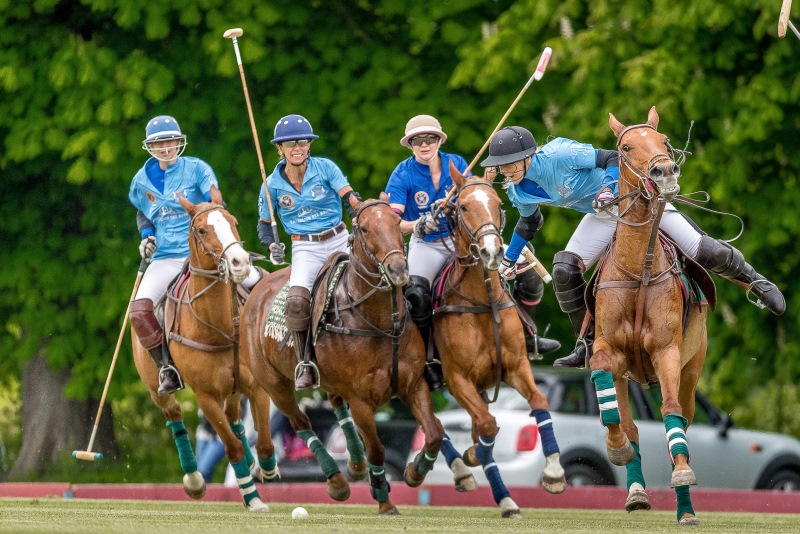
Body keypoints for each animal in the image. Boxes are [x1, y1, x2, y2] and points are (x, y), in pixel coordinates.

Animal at [133, 186, 276, 512]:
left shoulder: (256, 386)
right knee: (173, 412)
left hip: (234, 388)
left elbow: (263, 442)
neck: (219, 326)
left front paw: (266, 469)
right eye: (201, 229)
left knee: (235, 417)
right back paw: (195, 480)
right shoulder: (205, 397)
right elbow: (232, 448)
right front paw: (253, 498)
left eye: (233, 222)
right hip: (154, 386)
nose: (240, 262)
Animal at [244, 195, 444, 516]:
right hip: (273, 383)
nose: (398, 270)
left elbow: (435, 432)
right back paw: (337, 481)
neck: (379, 321)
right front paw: (384, 501)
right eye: (364, 228)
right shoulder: (361, 399)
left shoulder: (414, 385)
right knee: (302, 422)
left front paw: (414, 472)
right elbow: (377, 449)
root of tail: (258, 287)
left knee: (336, 405)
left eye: (397, 222)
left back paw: (356, 464)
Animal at [432, 168, 568, 520]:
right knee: (433, 422)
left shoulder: (515, 366)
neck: (483, 303)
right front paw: (473, 456)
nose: (492, 252)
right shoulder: (456, 379)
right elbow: (488, 425)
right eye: (463, 206)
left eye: (497, 203)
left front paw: (554, 473)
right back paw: (464, 471)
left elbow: (538, 402)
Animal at [592, 105, 708, 528]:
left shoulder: (667, 351)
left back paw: (686, 505)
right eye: (626, 146)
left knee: (684, 417)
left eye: (665, 141)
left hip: (693, 366)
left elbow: (671, 412)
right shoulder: (608, 348)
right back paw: (637, 491)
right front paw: (617, 450)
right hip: (626, 375)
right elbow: (611, 404)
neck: (638, 271)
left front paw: (683, 475)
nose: (665, 171)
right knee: (628, 423)